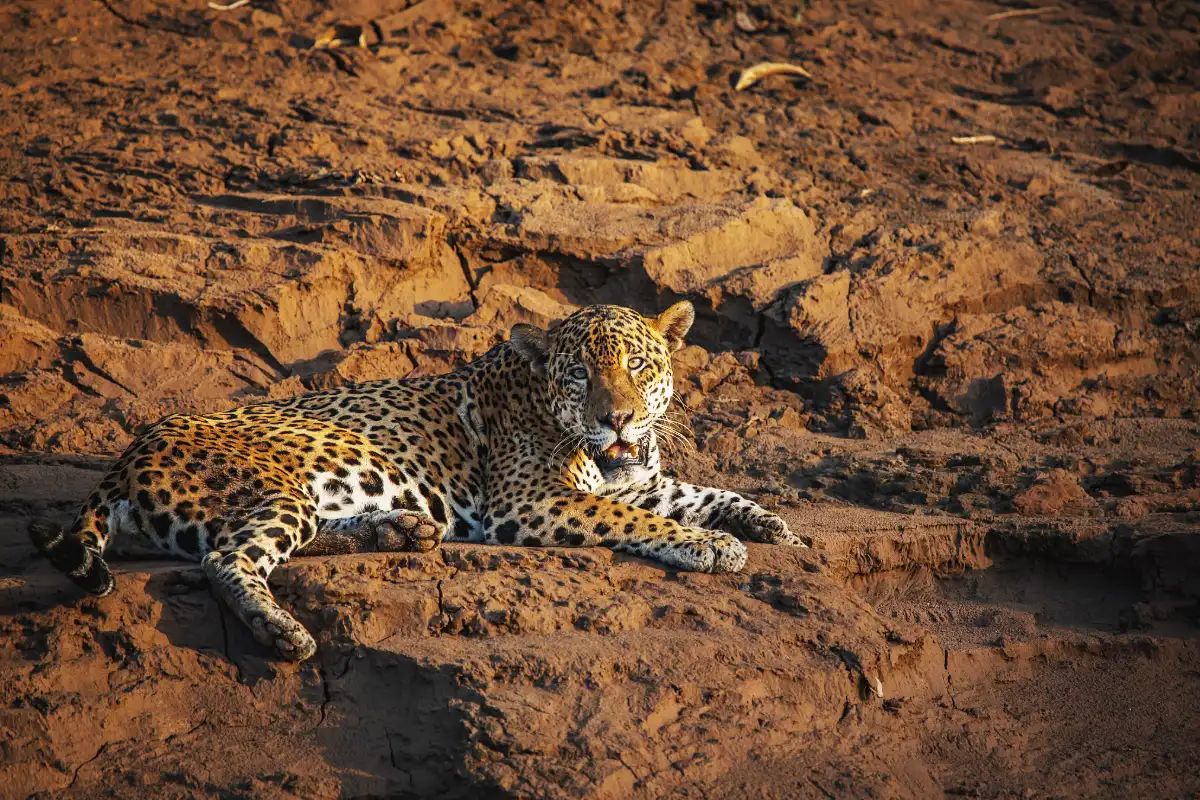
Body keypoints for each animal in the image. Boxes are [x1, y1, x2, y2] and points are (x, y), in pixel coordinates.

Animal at [29, 301, 805, 661]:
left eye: (638, 366)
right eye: (580, 375)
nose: (616, 419)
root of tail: (126, 455)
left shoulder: (630, 479)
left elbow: (701, 493)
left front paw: (772, 527)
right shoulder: (531, 502)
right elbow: (642, 521)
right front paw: (711, 546)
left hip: (293, 500)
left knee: (278, 541)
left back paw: (400, 527)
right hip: (273, 490)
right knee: (228, 559)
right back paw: (281, 631)